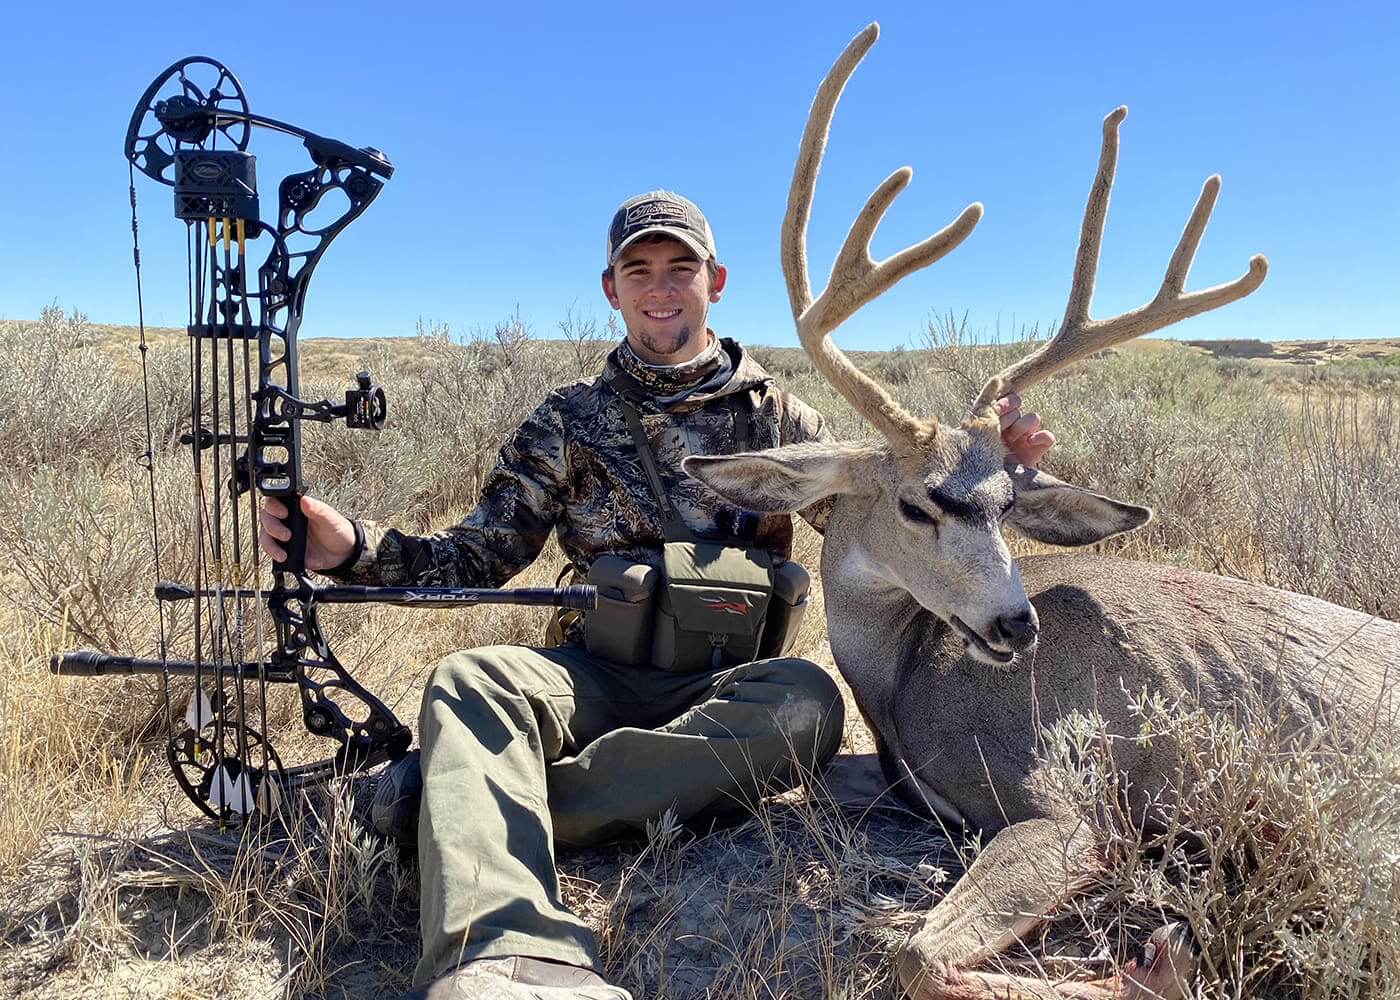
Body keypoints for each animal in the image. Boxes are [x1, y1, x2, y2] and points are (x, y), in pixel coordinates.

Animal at [682, 23, 1400, 1000]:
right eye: (916, 504)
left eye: (1005, 505)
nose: (1017, 623)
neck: (899, 678)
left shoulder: (1066, 803)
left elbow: (913, 953)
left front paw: (1160, 961)